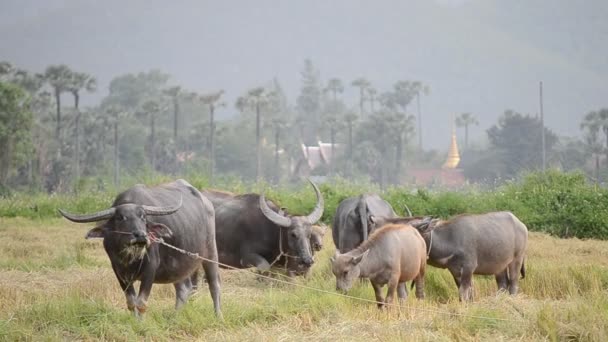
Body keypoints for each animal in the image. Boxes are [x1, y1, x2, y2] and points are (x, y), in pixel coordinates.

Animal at [58, 180, 221, 316]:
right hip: (177, 267)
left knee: (214, 285)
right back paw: (175, 317)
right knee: (184, 289)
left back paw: (218, 315)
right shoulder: (118, 271)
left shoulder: (150, 269)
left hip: (210, 253)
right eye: (120, 218)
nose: (141, 236)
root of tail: (206, 202)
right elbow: (131, 302)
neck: (130, 258)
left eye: (143, 216)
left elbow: (141, 302)